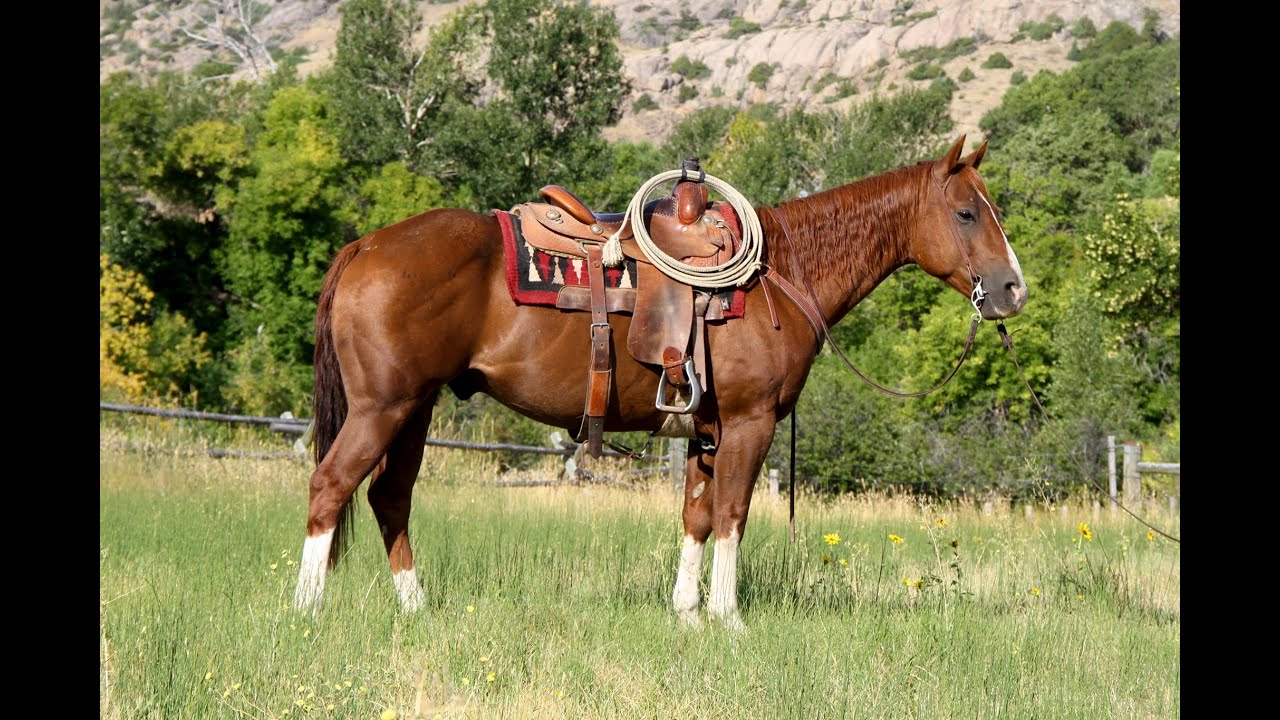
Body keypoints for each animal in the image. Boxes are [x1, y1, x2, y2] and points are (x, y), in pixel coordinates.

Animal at [292, 135, 1027, 628]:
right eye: (968, 213)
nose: (1013, 289)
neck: (783, 272)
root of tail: (366, 246)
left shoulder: (708, 429)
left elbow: (696, 516)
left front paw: (687, 612)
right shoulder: (750, 422)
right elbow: (732, 514)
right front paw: (729, 619)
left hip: (414, 410)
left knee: (389, 497)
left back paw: (414, 607)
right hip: (381, 407)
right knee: (331, 486)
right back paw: (307, 608)